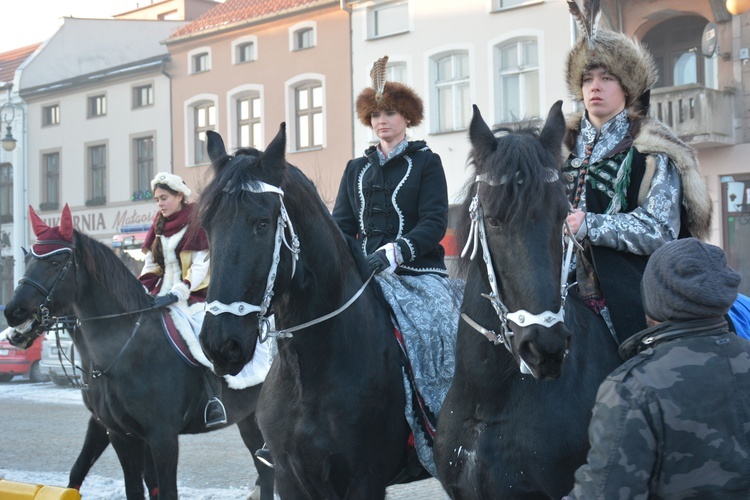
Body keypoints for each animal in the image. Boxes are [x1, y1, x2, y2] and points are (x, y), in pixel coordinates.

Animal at [3, 205, 274, 498]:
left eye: (55, 262)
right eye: (28, 259)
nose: (12, 312)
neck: (123, 350)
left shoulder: (162, 436)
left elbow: (163, 489)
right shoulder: (120, 434)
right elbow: (123, 483)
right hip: (248, 418)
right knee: (265, 470)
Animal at [195, 127, 418, 498]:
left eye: (262, 224)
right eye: (207, 226)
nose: (220, 343)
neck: (308, 374)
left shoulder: (365, 479)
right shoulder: (290, 475)